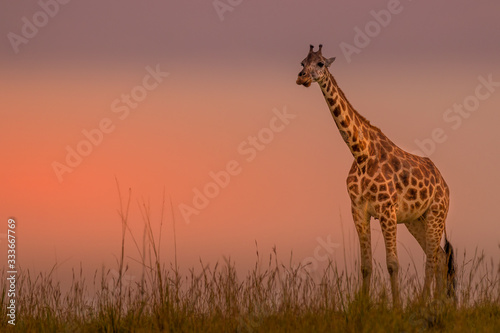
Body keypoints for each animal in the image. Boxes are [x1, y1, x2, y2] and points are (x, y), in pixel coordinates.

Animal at [296, 44, 458, 306]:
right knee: (441, 258)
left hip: (436, 214)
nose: (302, 78)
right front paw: (363, 305)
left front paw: (396, 307)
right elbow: (365, 266)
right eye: (302, 62)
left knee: (432, 260)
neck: (361, 153)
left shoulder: (387, 211)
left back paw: (425, 304)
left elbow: (393, 264)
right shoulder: (359, 211)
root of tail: (444, 185)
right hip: (416, 220)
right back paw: (438, 305)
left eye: (320, 63)